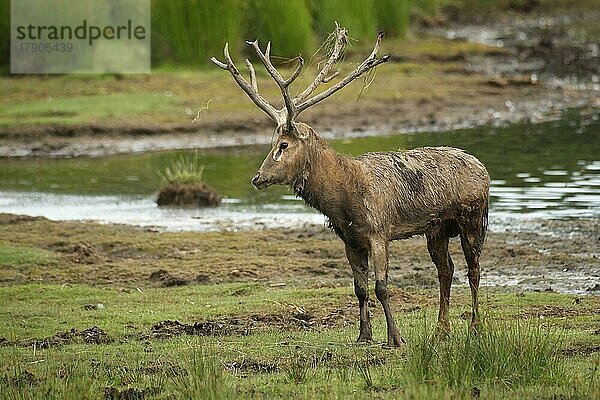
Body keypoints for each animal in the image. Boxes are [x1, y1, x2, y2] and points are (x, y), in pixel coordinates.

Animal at [213, 24, 490, 346]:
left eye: (282, 145)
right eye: (272, 143)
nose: (258, 177)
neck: (345, 201)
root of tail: (483, 169)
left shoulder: (379, 231)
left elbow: (382, 287)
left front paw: (395, 338)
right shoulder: (349, 239)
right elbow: (360, 289)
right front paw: (363, 335)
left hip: (473, 217)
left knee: (474, 269)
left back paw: (475, 328)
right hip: (437, 228)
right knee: (446, 270)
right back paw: (441, 330)